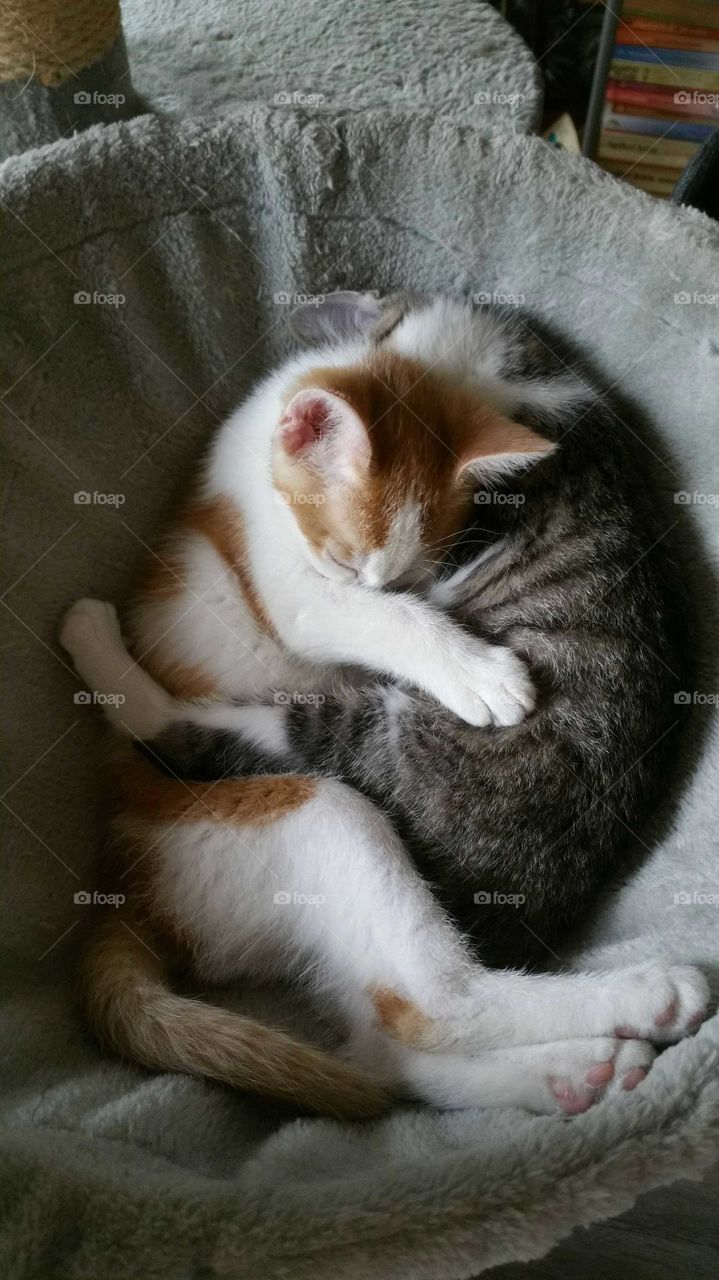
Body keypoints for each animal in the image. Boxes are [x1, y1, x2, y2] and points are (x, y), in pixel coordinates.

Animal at [60, 293, 706, 1121]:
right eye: (345, 560)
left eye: (409, 570)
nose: (385, 584)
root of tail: (123, 882)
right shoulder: (287, 577)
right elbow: (355, 615)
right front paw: (480, 674)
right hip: (314, 806)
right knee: (443, 999)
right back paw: (644, 997)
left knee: (393, 1037)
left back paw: (572, 1070)